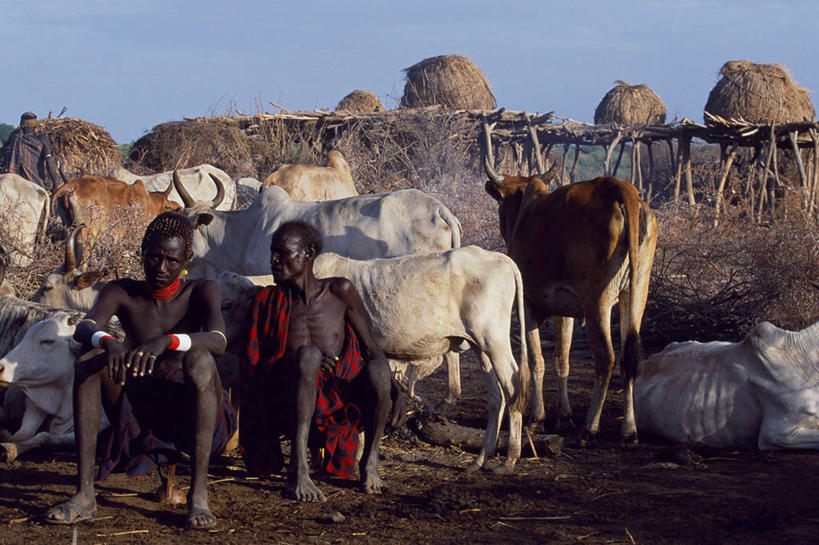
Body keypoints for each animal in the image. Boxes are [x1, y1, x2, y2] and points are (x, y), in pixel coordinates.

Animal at [216, 244, 532, 470]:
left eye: (227, 304)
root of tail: (498, 257)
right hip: (481, 346)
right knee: (496, 396)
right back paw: (480, 460)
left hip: (494, 340)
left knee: (513, 387)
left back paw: (509, 459)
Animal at [486, 158, 660, 446]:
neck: (527, 213)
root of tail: (619, 188)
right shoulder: (565, 311)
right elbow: (562, 360)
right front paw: (564, 416)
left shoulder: (528, 305)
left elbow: (537, 360)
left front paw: (537, 418)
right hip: (636, 293)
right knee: (630, 358)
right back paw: (629, 430)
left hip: (597, 301)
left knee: (606, 358)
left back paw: (590, 428)